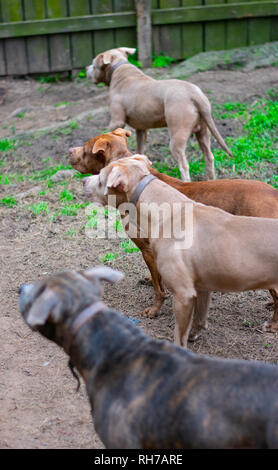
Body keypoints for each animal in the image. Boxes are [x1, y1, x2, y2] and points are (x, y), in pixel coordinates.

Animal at [68, 130, 278, 332]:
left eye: (85, 149)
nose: (69, 150)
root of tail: (274, 193)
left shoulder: (147, 250)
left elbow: (158, 288)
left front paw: (154, 309)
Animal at [85, 46, 232, 182]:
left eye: (93, 64)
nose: (86, 68)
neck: (119, 67)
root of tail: (195, 95)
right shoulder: (141, 129)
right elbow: (140, 149)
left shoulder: (116, 121)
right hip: (203, 131)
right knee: (209, 157)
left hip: (177, 135)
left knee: (184, 165)